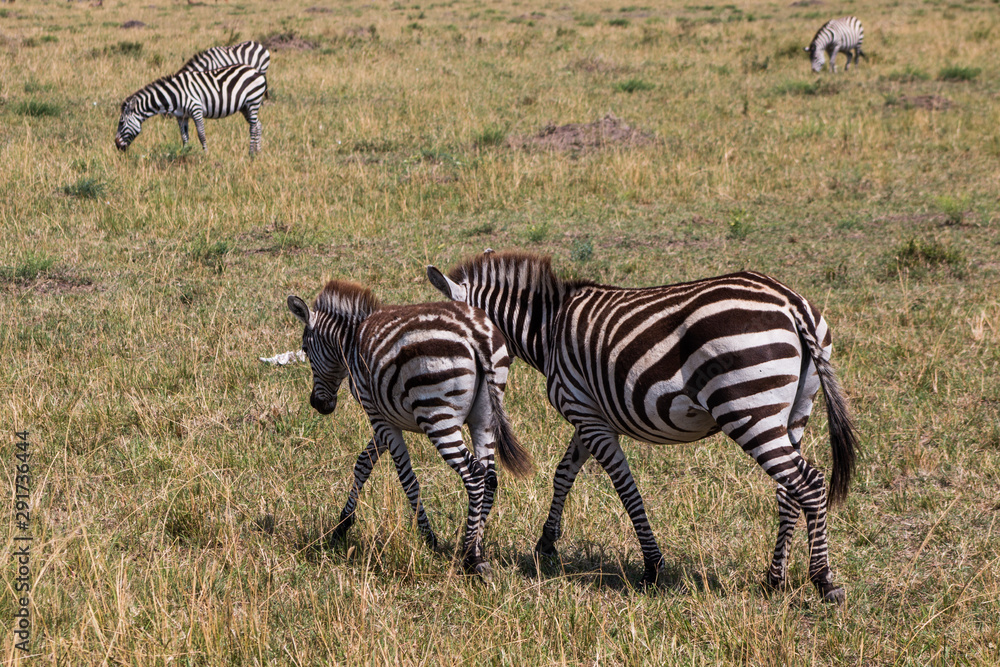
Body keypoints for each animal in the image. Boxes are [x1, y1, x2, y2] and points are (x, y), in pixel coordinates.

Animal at [115, 64, 266, 155]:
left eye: (121, 123)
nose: (116, 145)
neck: (174, 95)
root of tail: (255, 71)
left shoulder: (196, 109)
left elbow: (201, 134)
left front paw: (206, 155)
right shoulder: (181, 116)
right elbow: (184, 136)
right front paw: (185, 154)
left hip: (252, 102)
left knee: (253, 127)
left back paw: (251, 153)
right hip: (245, 107)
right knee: (258, 125)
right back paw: (258, 152)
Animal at [287, 280, 533, 577]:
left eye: (305, 350)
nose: (318, 405)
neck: (350, 341)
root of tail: (476, 334)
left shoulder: (377, 415)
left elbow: (407, 479)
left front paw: (429, 538)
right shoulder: (385, 417)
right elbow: (363, 463)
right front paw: (342, 526)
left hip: (437, 415)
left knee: (474, 475)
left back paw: (469, 557)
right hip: (484, 417)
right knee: (490, 477)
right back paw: (478, 547)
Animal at [427, 251, 857, 602]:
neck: (547, 332)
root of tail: (790, 302)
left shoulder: (586, 414)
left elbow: (624, 487)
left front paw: (651, 566)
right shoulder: (589, 413)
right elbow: (564, 473)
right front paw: (546, 543)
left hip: (747, 409)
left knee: (808, 484)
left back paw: (824, 582)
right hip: (793, 410)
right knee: (789, 489)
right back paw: (774, 579)